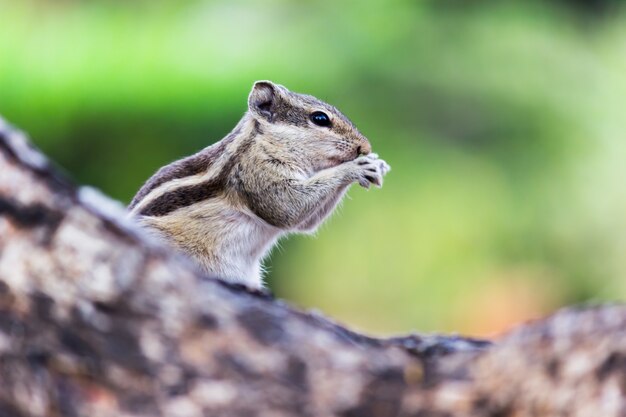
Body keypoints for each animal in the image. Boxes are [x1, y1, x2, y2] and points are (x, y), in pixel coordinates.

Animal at [127, 81, 388, 290]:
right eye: (320, 118)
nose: (365, 146)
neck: (265, 142)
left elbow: (305, 222)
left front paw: (377, 163)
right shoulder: (257, 173)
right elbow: (287, 208)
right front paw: (356, 167)